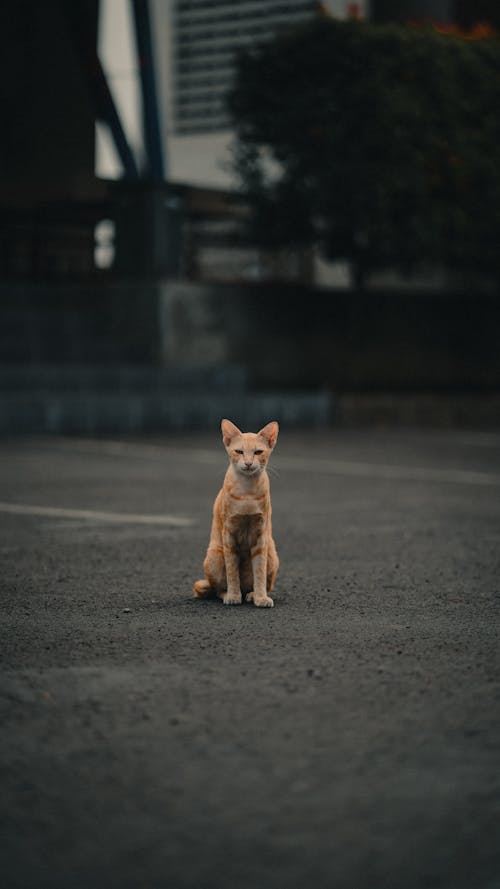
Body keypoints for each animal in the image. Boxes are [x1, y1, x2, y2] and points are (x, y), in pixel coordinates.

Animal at [193, 420, 280, 608]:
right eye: (239, 451)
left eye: (258, 452)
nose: (248, 463)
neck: (247, 492)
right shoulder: (229, 535)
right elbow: (232, 573)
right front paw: (233, 595)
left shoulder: (260, 536)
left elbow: (260, 574)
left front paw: (261, 598)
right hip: (215, 556)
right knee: (216, 589)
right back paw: (228, 594)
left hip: (271, 554)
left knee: (261, 585)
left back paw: (252, 594)